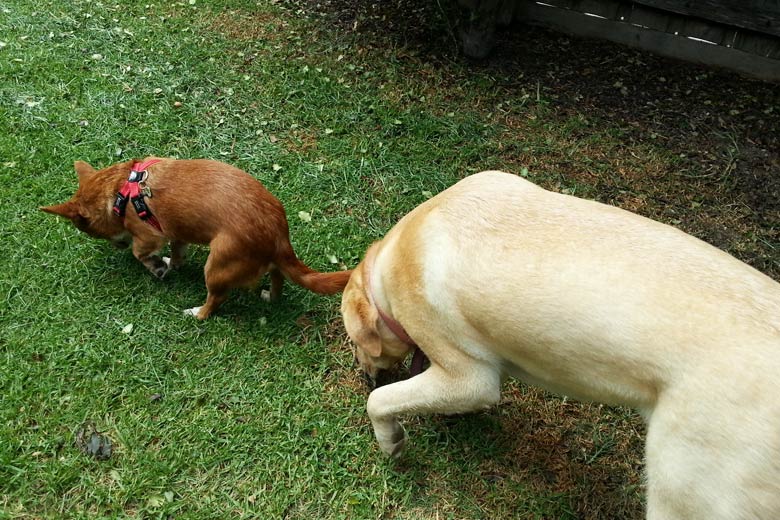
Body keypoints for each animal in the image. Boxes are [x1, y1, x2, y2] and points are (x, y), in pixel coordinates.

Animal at [39, 156, 350, 318]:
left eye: (89, 231)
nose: (116, 246)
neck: (119, 189)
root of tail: (278, 236)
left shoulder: (149, 235)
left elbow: (140, 253)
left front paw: (156, 267)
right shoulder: (177, 233)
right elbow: (177, 254)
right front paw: (169, 263)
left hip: (216, 267)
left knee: (216, 301)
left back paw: (197, 312)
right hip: (266, 265)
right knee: (278, 279)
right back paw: (269, 297)